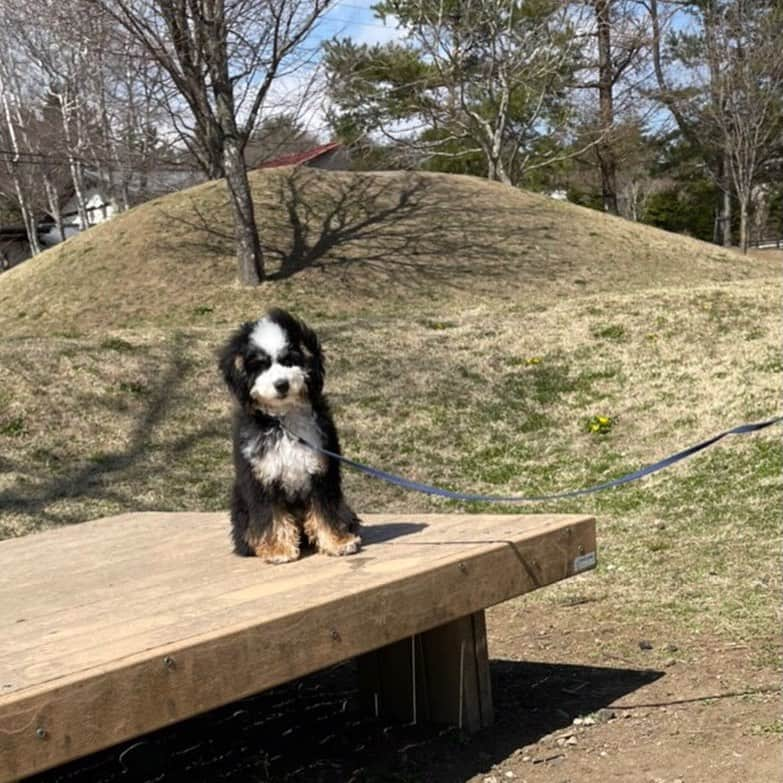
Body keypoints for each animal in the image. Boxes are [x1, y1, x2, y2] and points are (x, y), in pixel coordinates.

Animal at [216, 308, 360, 564]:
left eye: (289, 359)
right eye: (260, 365)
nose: (281, 384)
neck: (284, 421)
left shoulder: (322, 471)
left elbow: (326, 509)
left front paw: (337, 542)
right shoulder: (261, 477)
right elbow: (270, 515)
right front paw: (278, 549)